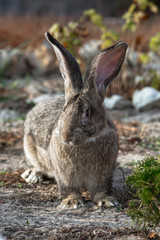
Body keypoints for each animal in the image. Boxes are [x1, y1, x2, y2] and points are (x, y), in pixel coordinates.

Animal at [21, 31, 127, 208]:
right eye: (64, 110)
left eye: (87, 113)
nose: (66, 136)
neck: (86, 142)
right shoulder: (65, 176)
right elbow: (69, 188)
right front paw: (71, 202)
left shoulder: (101, 177)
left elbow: (100, 190)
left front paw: (107, 201)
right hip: (29, 146)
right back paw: (32, 175)